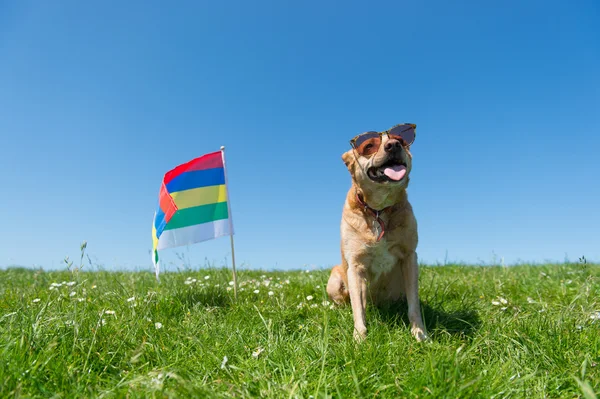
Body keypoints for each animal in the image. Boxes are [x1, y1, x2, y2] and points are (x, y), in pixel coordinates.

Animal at [326, 123, 428, 342]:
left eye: (402, 140)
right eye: (369, 145)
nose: (394, 145)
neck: (379, 209)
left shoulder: (410, 257)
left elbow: (414, 306)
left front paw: (420, 333)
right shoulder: (356, 266)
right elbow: (358, 309)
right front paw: (359, 338)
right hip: (335, 278)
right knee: (346, 302)